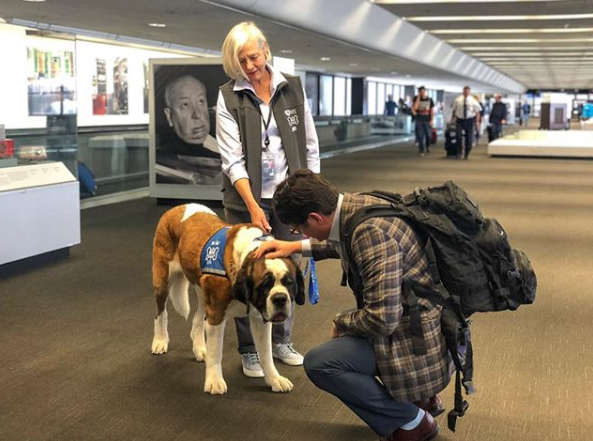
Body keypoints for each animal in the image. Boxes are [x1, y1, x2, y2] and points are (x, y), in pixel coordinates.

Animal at [150, 205, 302, 394]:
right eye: (264, 285)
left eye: (290, 283)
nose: (280, 299)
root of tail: (177, 207)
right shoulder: (216, 315)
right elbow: (216, 352)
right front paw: (214, 381)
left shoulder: (260, 320)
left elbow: (266, 354)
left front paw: (275, 379)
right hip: (162, 280)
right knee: (160, 313)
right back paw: (160, 341)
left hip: (202, 291)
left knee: (197, 319)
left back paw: (200, 348)